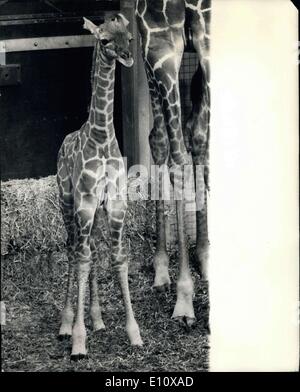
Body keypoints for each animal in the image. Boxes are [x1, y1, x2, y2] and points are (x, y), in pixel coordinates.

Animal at [56, 15, 143, 360]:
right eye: (104, 40)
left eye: (129, 36)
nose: (127, 56)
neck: (103, 138)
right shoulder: (84, 202)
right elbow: (81, 258)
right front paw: (79, 341)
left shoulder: (116, 203)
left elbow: (117, 257)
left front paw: (134, 333)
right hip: (67, 201)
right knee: (74, 250)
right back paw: (67, 324)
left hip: (92, 213)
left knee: (91, 249)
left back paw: (97, 319)